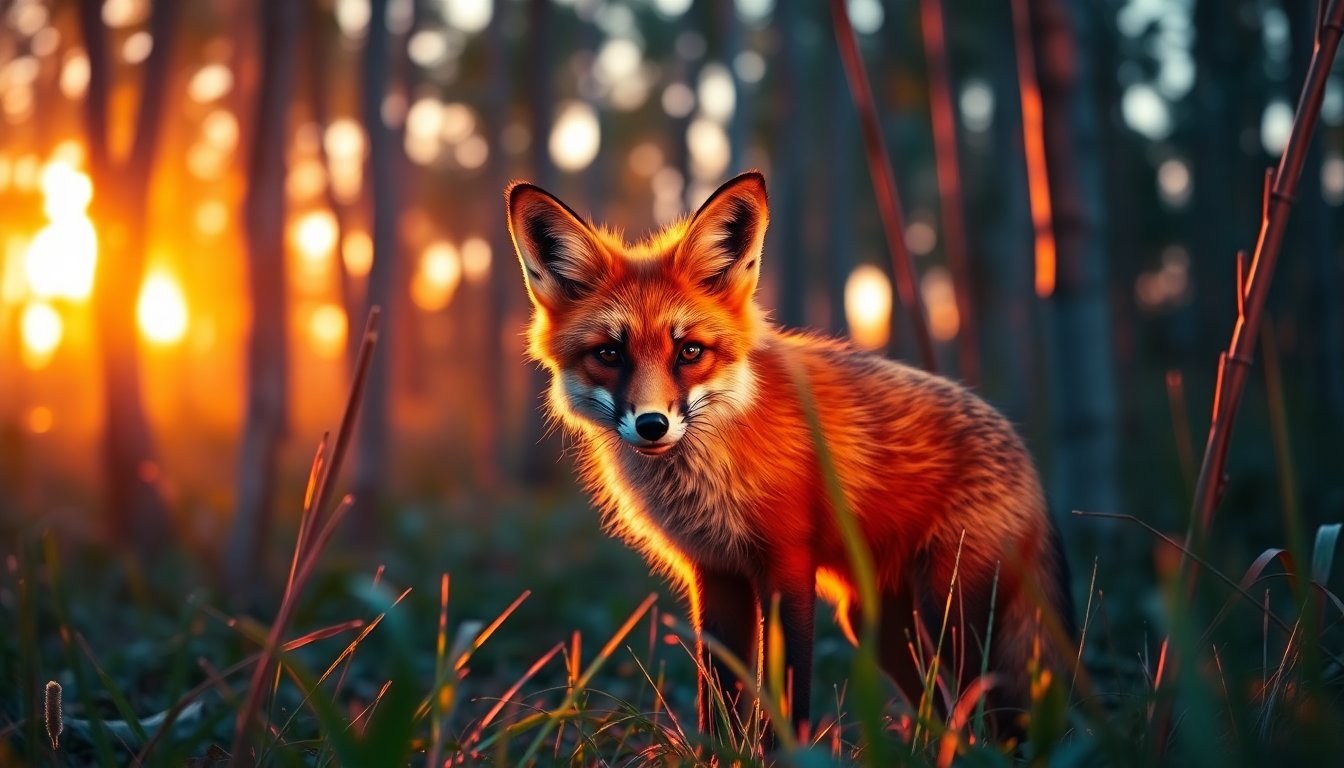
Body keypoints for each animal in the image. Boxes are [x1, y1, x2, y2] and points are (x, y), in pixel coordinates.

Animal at [506, 170, 1074, 741]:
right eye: (609, 353)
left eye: (689, 351)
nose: (651, 425)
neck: (712, 469)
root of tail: (1022, 449)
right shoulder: (716, 574)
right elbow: (719, 703)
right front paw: (722, 752)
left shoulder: (788, 565)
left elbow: (790, 699)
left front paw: (787, 751)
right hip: (877, 626)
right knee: (941, 710)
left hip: (951, 616)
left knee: (997, 719)